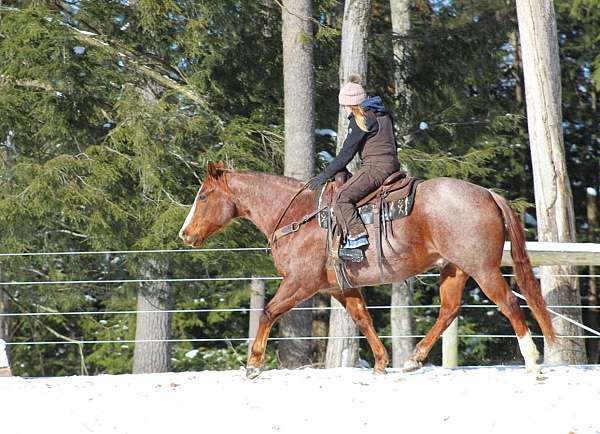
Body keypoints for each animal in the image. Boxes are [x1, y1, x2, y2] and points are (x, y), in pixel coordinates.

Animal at [180, 161, 556, 378]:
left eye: (203, 196)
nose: (185, 234)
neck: (298, 217)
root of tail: (488, 194)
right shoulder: (340, 288)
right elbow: (363, 319)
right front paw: (380, 362)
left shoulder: (300, 283)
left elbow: (269, 311)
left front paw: (254, 364)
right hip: (455, 269)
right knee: (449, 310)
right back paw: (413, 359)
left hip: (483, 269)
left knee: (510, 303)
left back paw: (534, 360)